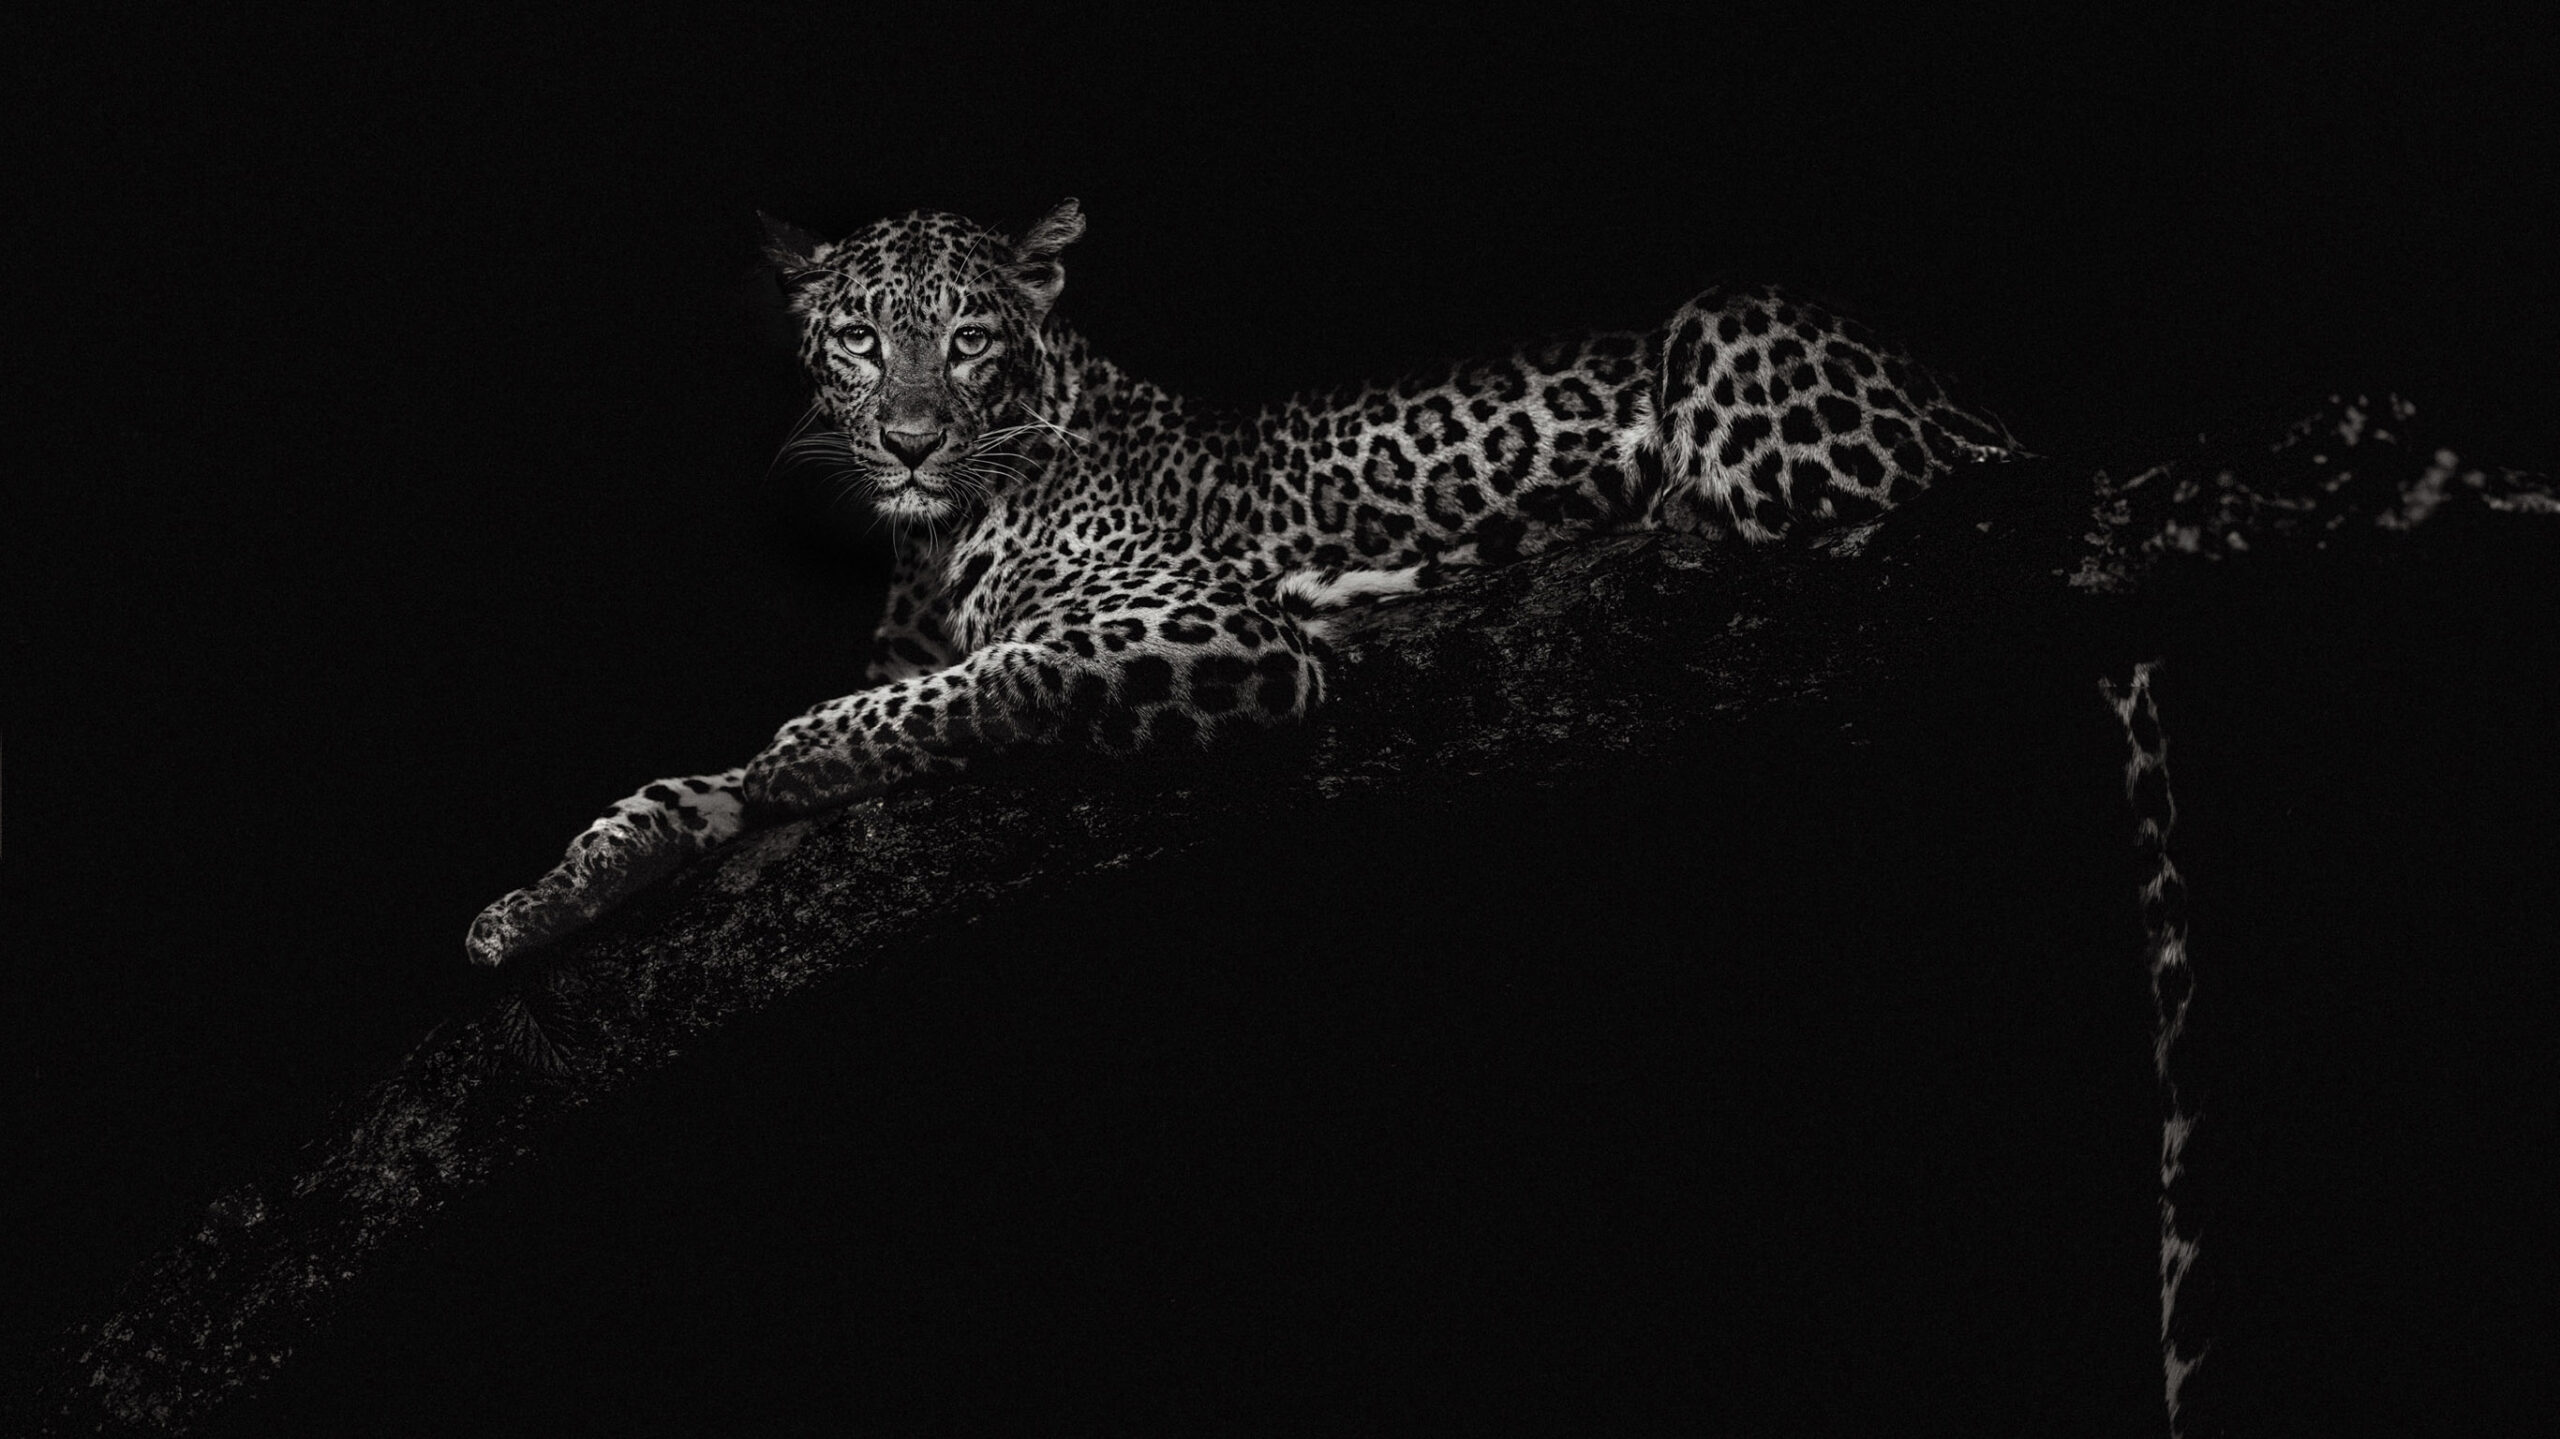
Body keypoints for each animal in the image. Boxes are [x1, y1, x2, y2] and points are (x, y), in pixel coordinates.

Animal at [465, 198, 2018, 965]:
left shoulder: (1220, 631)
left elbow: (979, 679)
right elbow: (685, 786)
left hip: (1736, 330)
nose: (908, 439)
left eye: (967, 338)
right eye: (858, 337)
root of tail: (1962, 394)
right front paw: (538, 901)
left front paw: (802, 751)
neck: (935, 535)